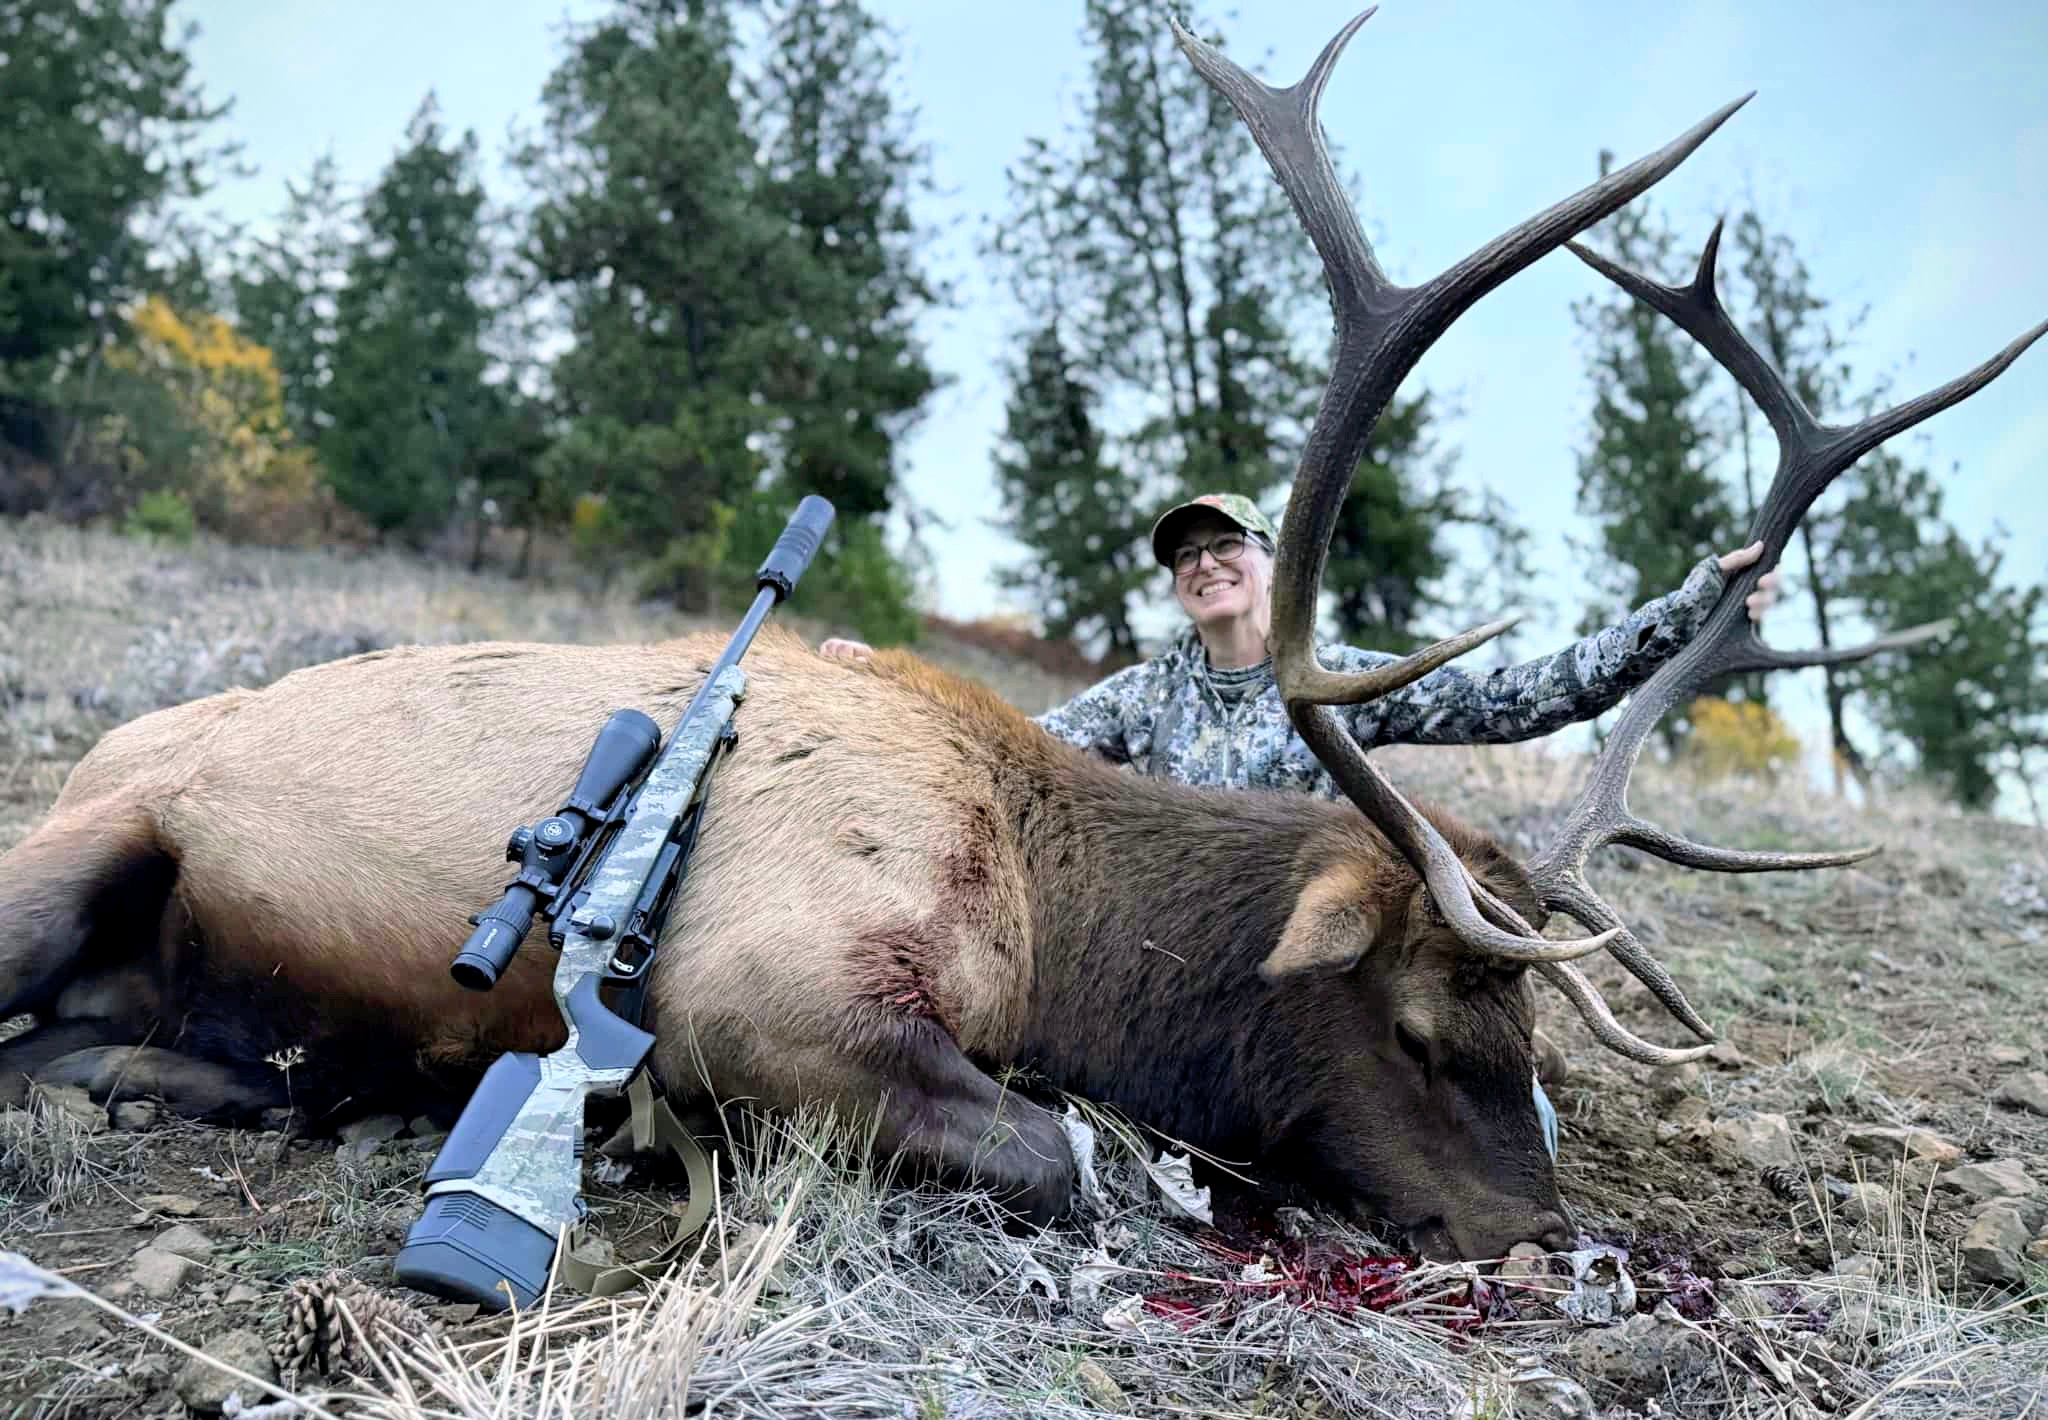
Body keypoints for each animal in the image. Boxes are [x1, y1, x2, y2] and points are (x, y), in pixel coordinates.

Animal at [0, 9, 2037, 1264]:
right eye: (1419, 1018)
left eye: (1536, 1027)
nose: (1546, 1239)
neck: (1063, 924)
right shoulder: (761, 988)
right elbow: (1067, 1151)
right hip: (82, 833)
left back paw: (160, 1074)